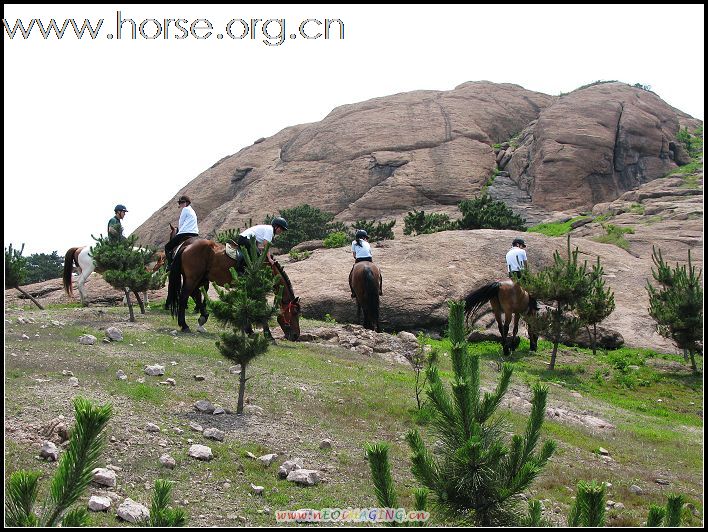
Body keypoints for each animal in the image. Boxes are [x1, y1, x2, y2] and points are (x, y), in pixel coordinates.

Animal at [165, 237, 300, 340]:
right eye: (294, 312)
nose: (295, 336)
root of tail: (187, 245)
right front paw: (268, 336)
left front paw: (249, 330)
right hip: (193, 278)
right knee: (184, 296)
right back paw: (184, 325)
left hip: (200, 278)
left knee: (195, 294)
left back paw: (202, 318)